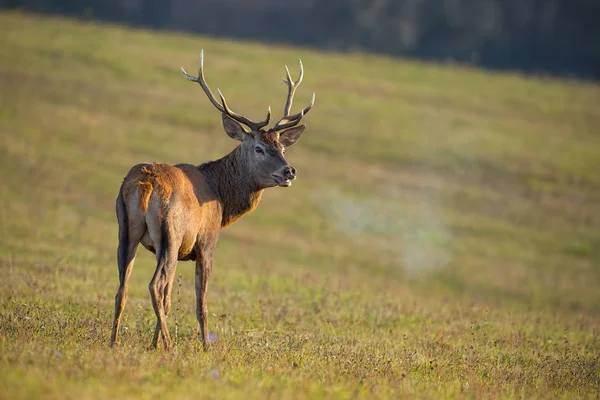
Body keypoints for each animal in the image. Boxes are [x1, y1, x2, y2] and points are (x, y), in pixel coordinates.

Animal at [109, 50, 314, 350]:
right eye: (259, 148)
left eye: (282, 147)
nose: (289, 171)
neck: (221, 196)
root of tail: (144, 183)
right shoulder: (206, 241)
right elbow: (201, 304)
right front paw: (205, 347)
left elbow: (169, 299)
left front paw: (153, 345)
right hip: (170, 232)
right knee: (154, 285)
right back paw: (170, 346)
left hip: (126, 228)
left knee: (123, 287)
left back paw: (114, 342)